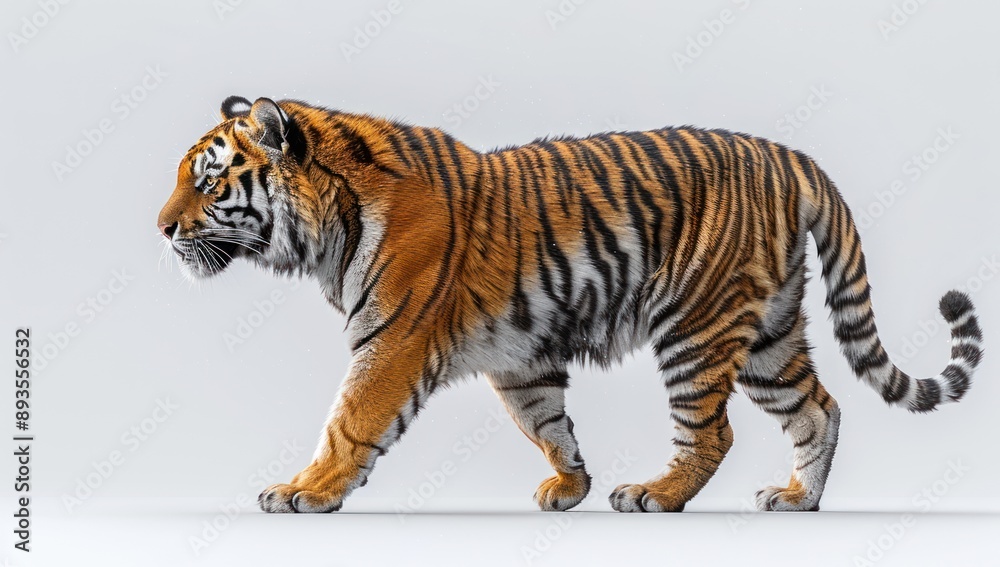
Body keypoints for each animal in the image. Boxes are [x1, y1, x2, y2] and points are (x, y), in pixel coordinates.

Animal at [157, 95, 983, 514]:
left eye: (208, 181)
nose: (160, 228)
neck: (330, 224)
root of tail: (790, 156)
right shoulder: (520, 354)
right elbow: (546, 421)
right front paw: (570, 484)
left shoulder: (391, 340)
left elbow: (348, 421)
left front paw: (304, 490)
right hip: (768, 334)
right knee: (820, 407)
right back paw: (797, 498)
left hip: (698, 324)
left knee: (711, 432)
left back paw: (655, 493)